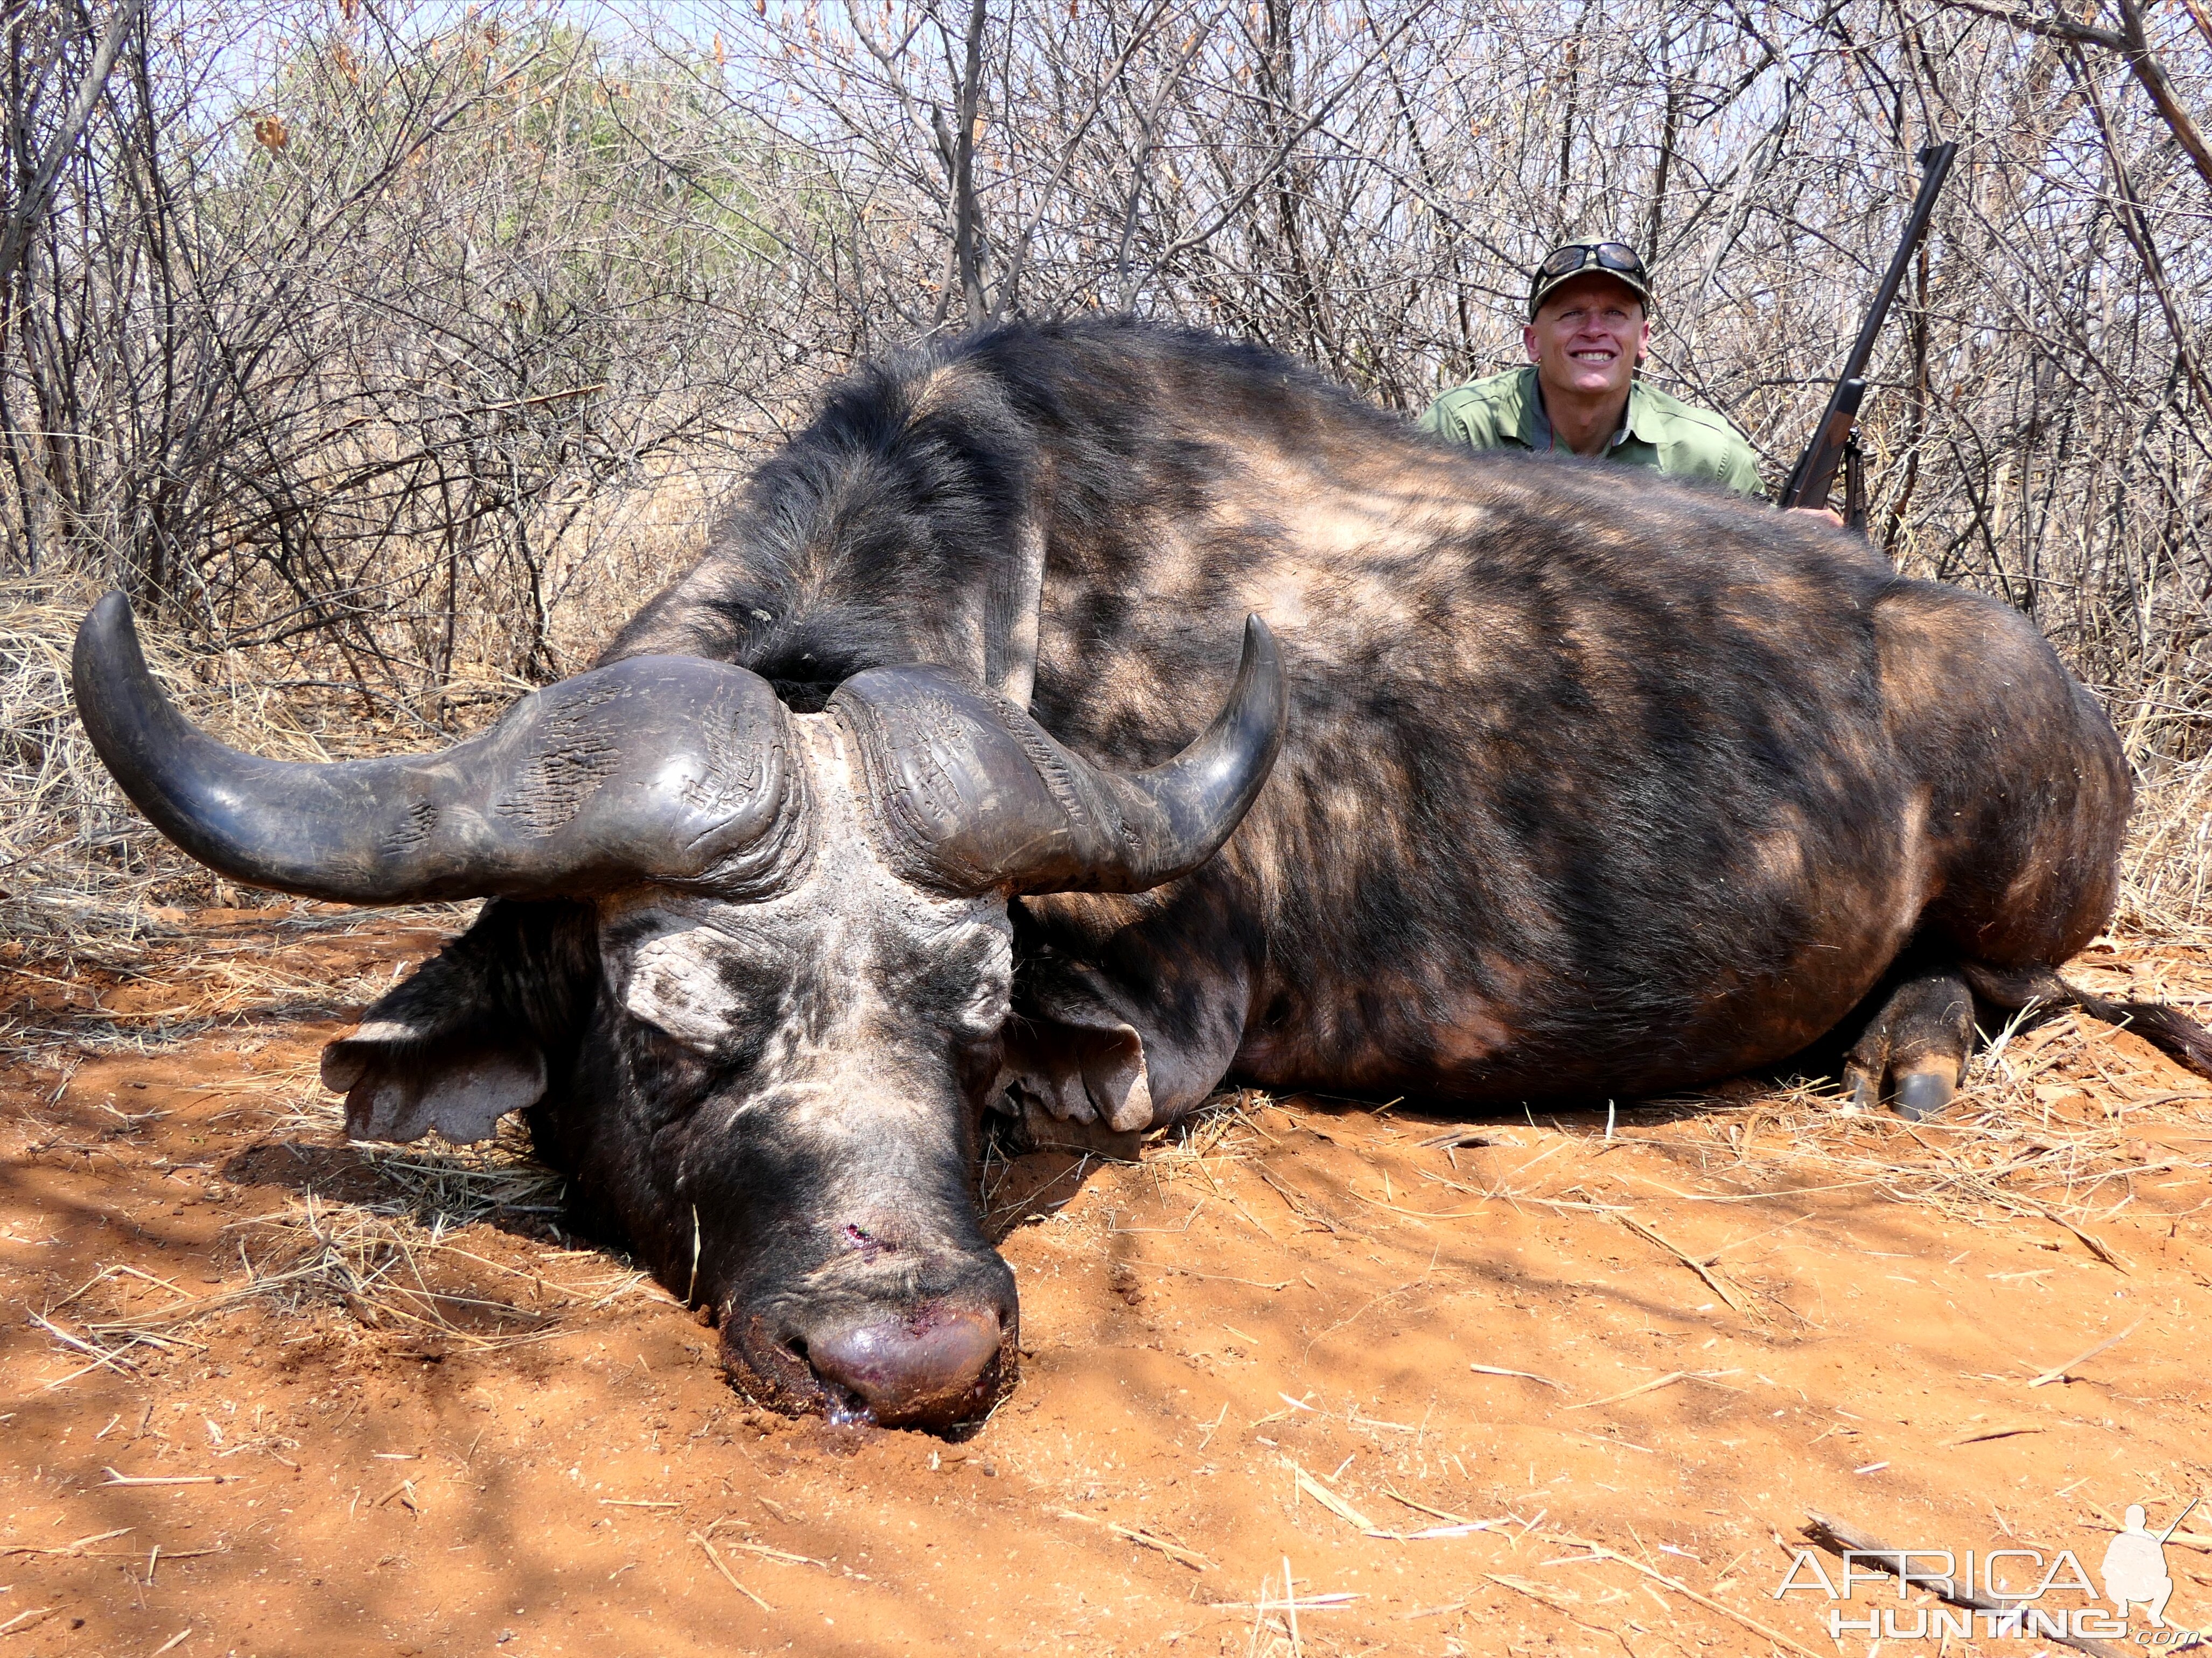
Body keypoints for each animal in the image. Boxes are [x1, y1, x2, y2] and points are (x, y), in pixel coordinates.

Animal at [73, 318, 2212, 1432]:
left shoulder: (1169, 1029)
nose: (907, 1352)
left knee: (2002, 988)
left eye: (975, 1024)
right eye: (671, 1032)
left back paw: (1908, 1047)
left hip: (2017, 870)